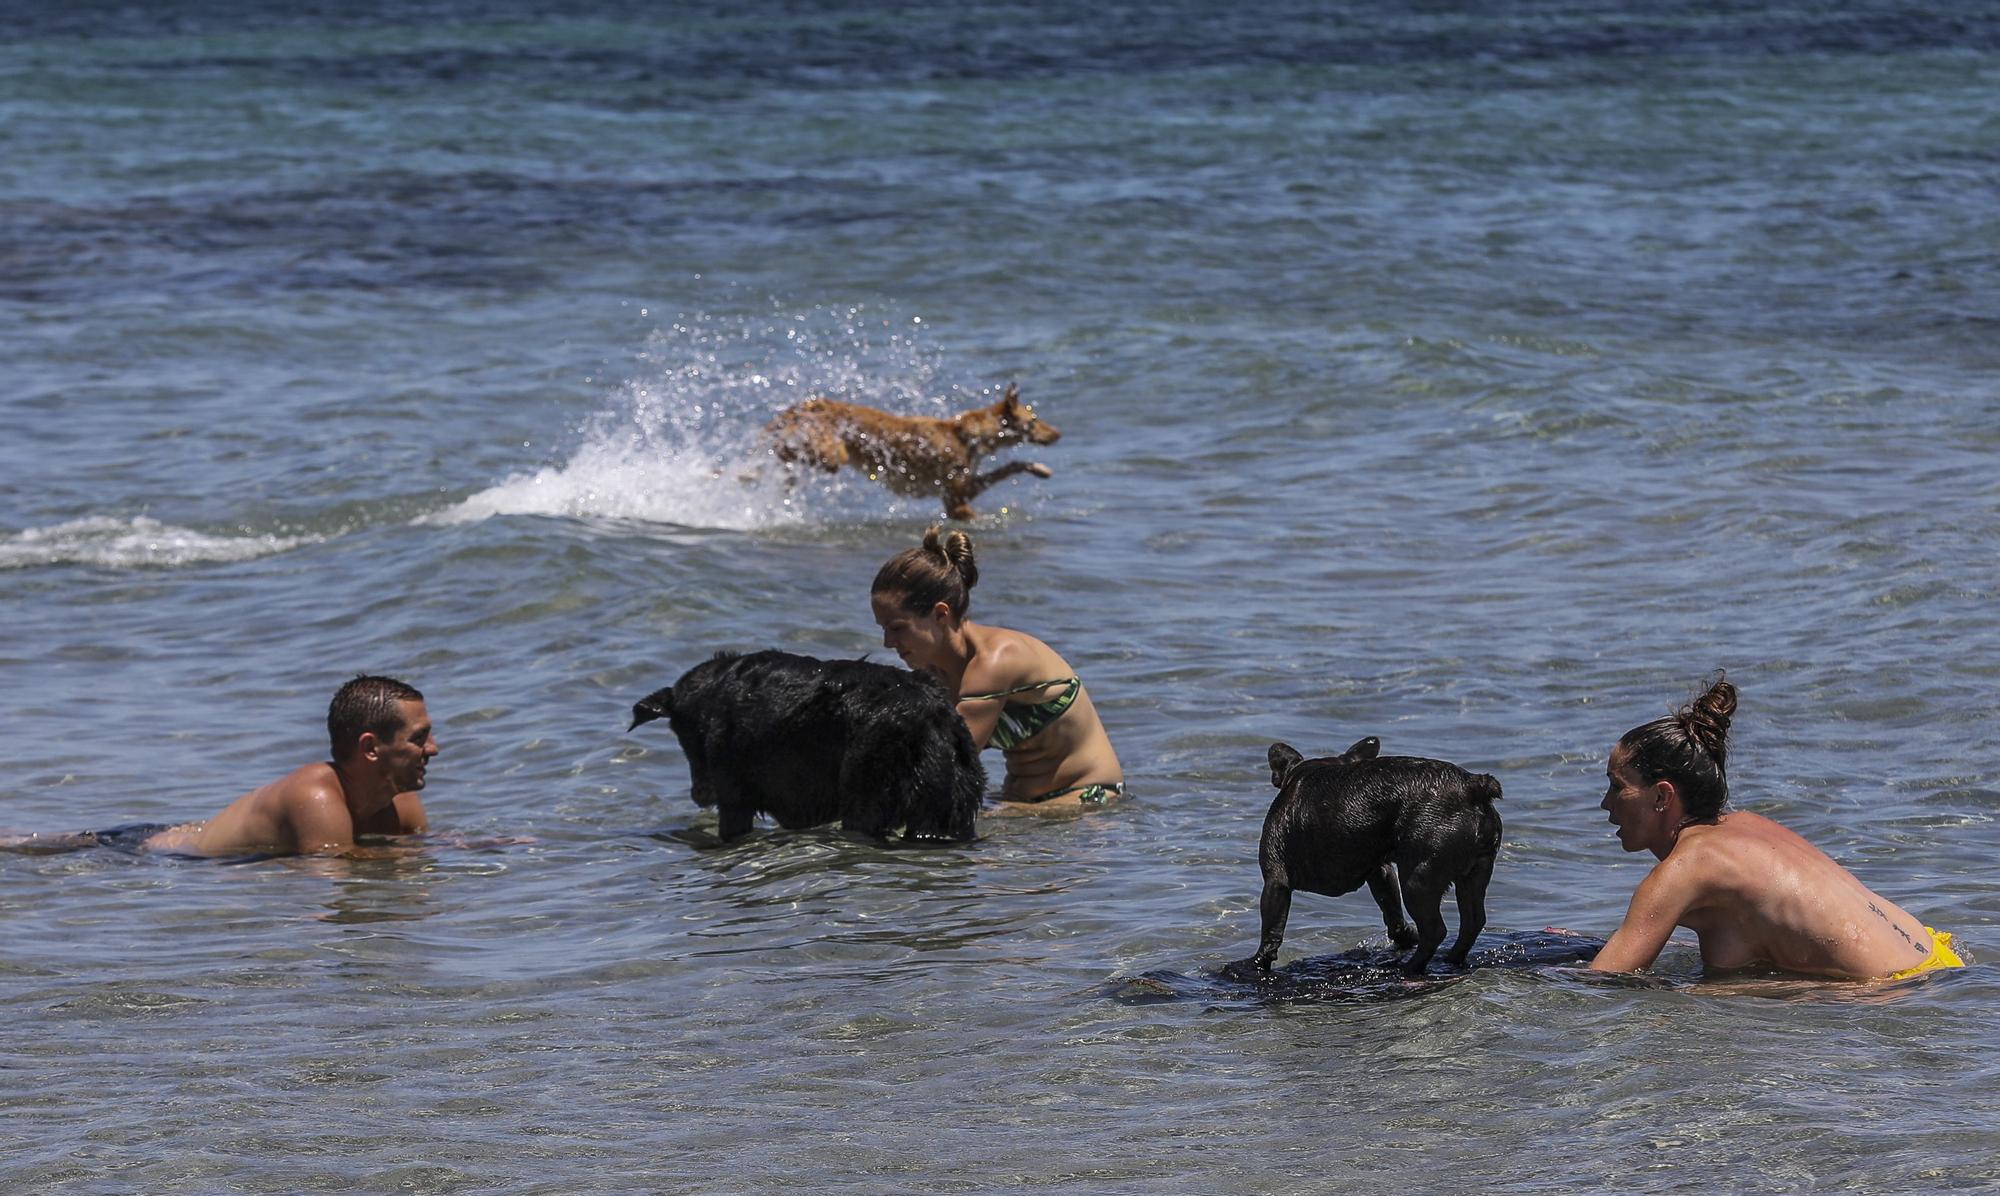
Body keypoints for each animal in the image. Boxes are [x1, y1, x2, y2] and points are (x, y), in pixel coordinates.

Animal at [628, 656, 980, 844]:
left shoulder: (735, 799)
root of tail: (933, 714)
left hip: (867, 796)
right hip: (949, 808)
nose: (698, 794)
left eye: (689, 740)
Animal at [756, 384, 1056, 516]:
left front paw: (1040, 469)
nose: (1058, 434)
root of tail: (812, 403)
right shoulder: (955, 502)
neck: (966, 435)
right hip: (833, 456)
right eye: (1034, 420)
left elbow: (1012, 465)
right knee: (782, 450)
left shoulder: (965, 488)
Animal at [1224, 740, 1504, 984]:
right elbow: (1392, 912)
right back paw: (1451, 959)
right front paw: (1405, 938)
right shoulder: (1380, 871)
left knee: (1435, 930)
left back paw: (1410, 968)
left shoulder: (1275, 879)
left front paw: (1256, 964)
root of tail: (1472, 786)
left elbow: (1271, 931)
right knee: (1472, 920)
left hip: (1418, 879)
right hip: (1475, 872)